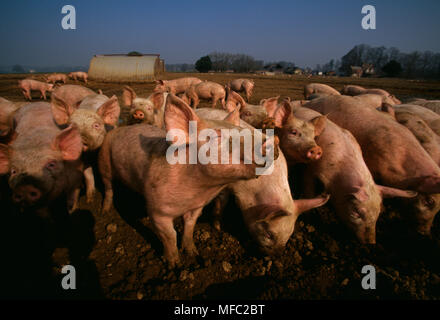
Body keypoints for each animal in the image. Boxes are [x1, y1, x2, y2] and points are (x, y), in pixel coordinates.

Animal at [99, 94, 278, 266]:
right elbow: (170, 235)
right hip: (104, 161)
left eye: (242, 129)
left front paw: (193, 252)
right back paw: (105, 210)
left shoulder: (197, 206)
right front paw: (174, 264)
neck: (199, 190)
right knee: (108, 187)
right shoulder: (157, 210)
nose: (271, 141)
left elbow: (189, 226)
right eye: (216, 137)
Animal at [292, 105, 416, 242]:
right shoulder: (311, 169)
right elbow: (308, 188)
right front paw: (309, 214)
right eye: (356, 212)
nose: (370, 243)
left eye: (378, 213)